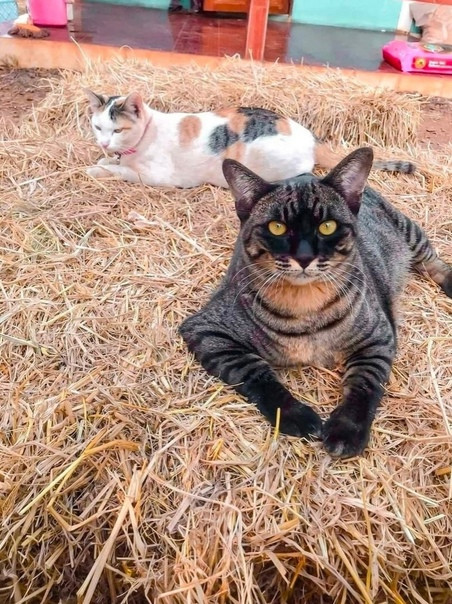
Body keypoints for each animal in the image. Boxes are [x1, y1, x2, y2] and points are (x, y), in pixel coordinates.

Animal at [84, 90, 415, 188]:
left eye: (118, 130)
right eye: (97, 127)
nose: (103, 143)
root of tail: (312, 139)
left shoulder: (158, 177)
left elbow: (121, 172)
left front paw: (98, 168)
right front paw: (101, 159)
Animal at [179, 147, 451, 458]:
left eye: (327, 226)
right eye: (276, 227)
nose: (305, 256)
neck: (305, 303)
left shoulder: (379, 335)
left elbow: (366, 381)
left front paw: (346, 429)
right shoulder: (206, 329)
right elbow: (254, 372)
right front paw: (295, 415)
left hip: (407, 230)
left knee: (431, 260)